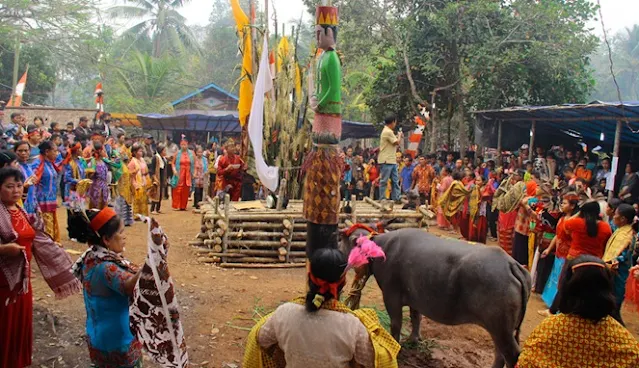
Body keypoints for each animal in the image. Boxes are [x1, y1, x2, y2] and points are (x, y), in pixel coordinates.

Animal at [342, 227, 532, 368]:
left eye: (340, 239)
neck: (380, 249)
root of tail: (511, 264)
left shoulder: (391, 296)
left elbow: (396, 324)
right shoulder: (414, 298)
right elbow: (415, 317)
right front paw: (414, 339)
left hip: (501, 329)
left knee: (512, 355)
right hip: (501, 330)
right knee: (500, 354)